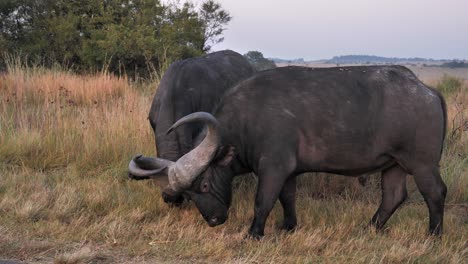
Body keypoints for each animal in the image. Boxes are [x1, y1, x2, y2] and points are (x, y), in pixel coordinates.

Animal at [130, 65, 448, 238]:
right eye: (190, 194)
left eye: (205, 185)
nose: (214, 220)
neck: (248, 118)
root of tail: (427, 90)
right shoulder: (290, 171)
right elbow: (287, 198)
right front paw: (288, 227)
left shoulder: (274, 167)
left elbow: (263, 201)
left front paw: (253, 234)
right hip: (393, 165)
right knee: (394, 196)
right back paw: (370, 228)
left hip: (422, 164)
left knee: (435, 193)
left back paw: (433, 234)